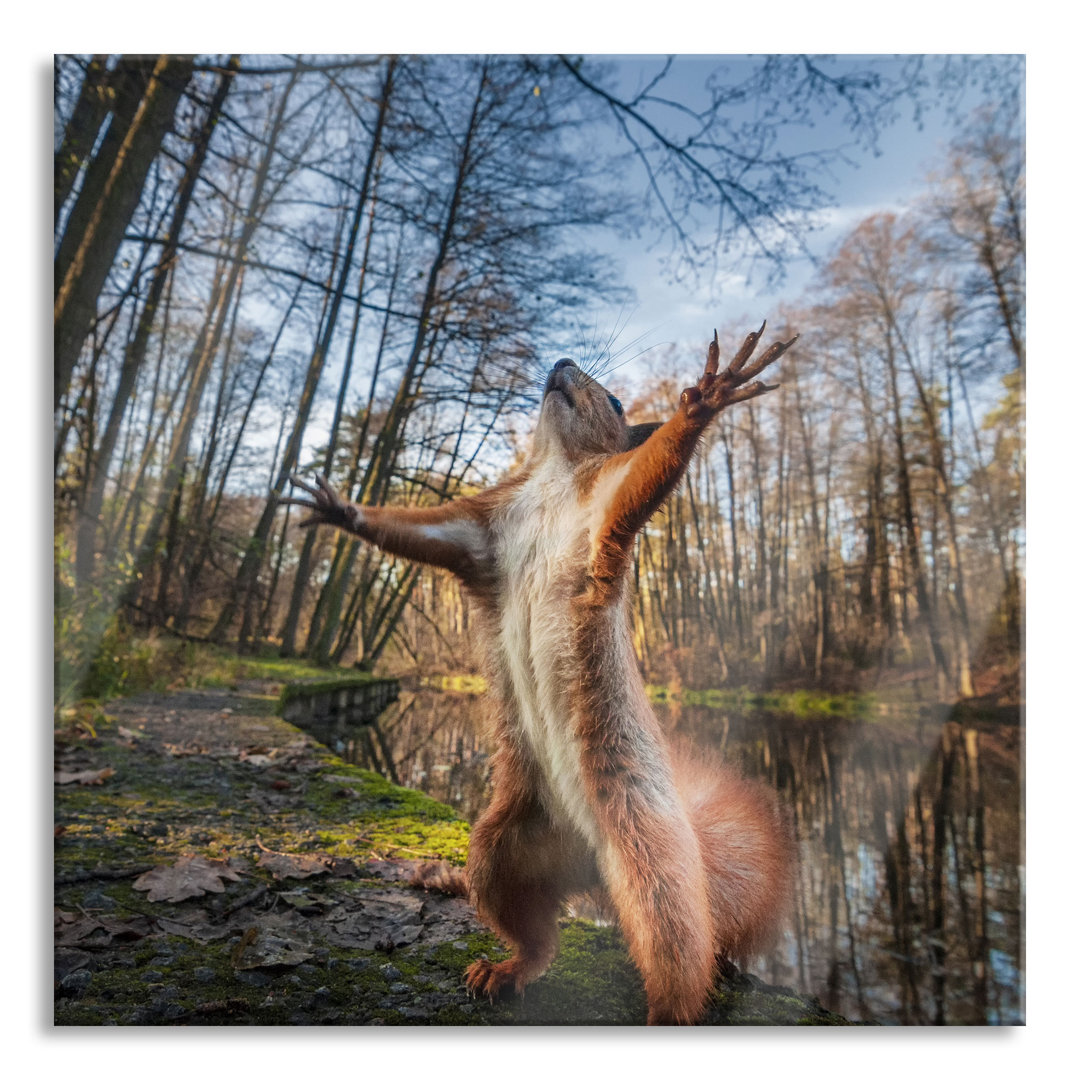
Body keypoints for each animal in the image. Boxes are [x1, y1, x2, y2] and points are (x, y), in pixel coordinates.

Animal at [282, 317, 799, 1019]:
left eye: (616, 403)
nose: (561, 361)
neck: (552, 474)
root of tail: (591, 864)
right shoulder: (481, 535)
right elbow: (414, 532)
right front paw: (343, 510)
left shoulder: (606, 504)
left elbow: (653, 470)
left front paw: (706, 399)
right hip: (504, 847)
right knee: (536, 932)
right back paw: (508, 969)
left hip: (651, 859)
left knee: (676, 949)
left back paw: (668, 1008)